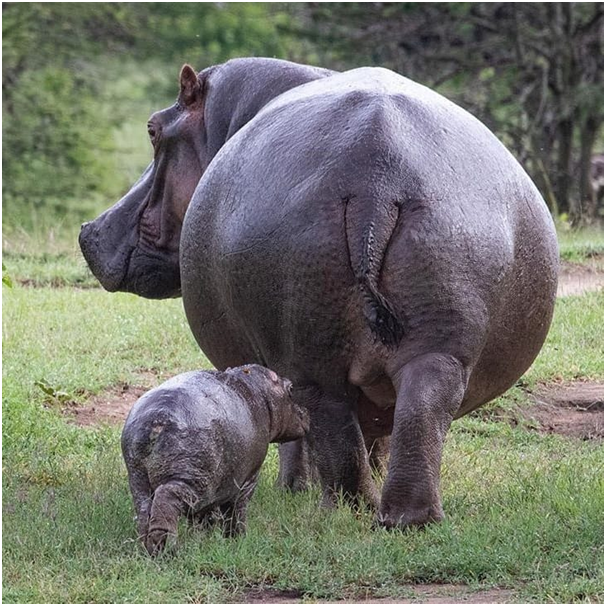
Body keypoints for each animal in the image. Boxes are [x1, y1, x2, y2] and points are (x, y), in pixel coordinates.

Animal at [82, 58, 560, 532]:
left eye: (152, 129)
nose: (89, 230)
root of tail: (375, 178)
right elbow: (377, 429)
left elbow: (296, 435)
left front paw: (292, 489)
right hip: (437, 339)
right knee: (419, 411)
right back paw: (405, 518)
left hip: (310, 352)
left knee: (331, 427)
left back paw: (346, 509)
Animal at [120, 364, 308, 560]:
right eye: (291, 388)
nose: (306, 411)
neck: (260, 391)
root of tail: (156, 421)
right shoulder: (248, 480)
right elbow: (236, 511)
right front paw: (237, 539)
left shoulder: (214, 488)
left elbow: (204, 517)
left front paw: (203, 539)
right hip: (191, 479)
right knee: (166, 497)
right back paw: (166, 548)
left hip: (139, 478)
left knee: (144, 510)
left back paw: (147, 548)